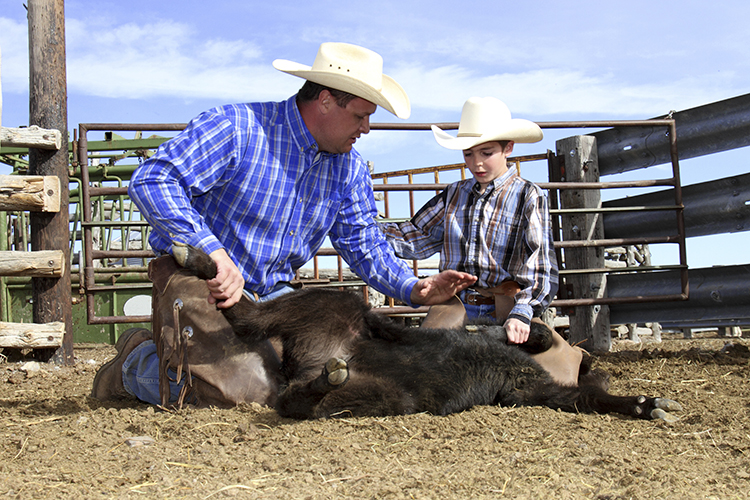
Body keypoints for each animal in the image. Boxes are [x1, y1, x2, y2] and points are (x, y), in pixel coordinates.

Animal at [173, 242, 684, 422]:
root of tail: (316, 359)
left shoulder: (531, 390)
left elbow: (585, 396)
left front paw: (645, 405)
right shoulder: (504, 345)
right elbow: (529, 330)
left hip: (384, 395)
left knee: (295, 397)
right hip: (331, 304)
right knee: (247, 318)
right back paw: (197, 259)